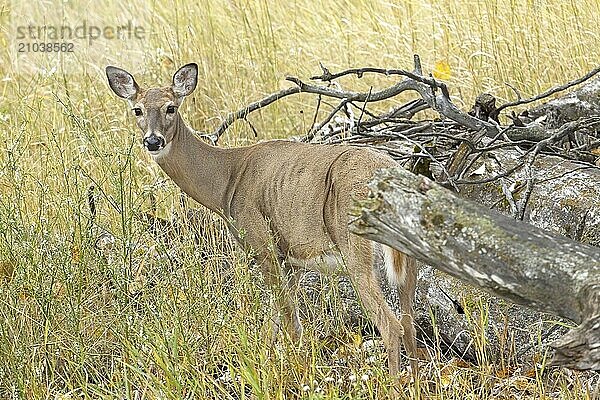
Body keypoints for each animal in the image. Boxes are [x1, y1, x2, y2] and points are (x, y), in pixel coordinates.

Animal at [105, 62, 420, 376]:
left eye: (170, 107)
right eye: (137, 110)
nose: (153, 141)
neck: (227, 180)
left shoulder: (263, 246)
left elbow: (291, 326)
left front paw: (295, 374)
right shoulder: (292, 260)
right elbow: (273, 324)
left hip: (355, 251)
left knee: (391, 326)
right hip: (410, 257)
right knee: (410, 324)